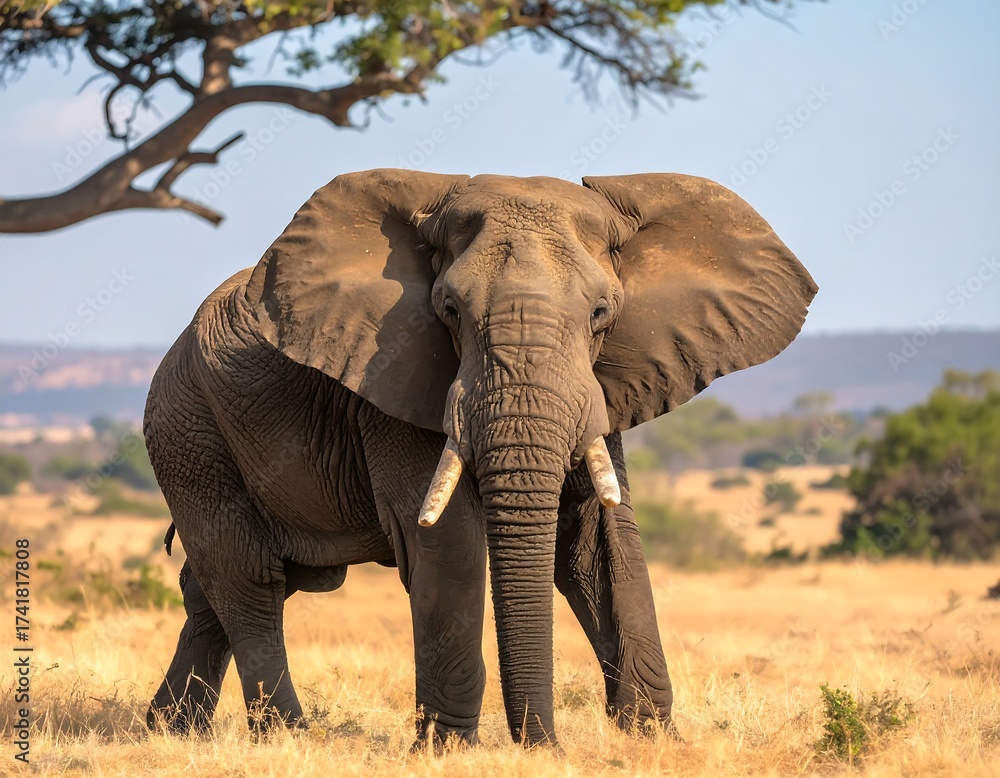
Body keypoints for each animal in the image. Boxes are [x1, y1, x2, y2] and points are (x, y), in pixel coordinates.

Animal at [144, 169, 817, 748]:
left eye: (602, 313)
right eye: (449, 311)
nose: (540, 745)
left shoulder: (603, 384)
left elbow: (596, 540)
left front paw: (652, 741)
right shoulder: (397, 378)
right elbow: (451, 542)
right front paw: (447, 750)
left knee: (222, 589)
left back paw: (170, 733)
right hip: (188, 430)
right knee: (251, 579)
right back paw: (286, 738)